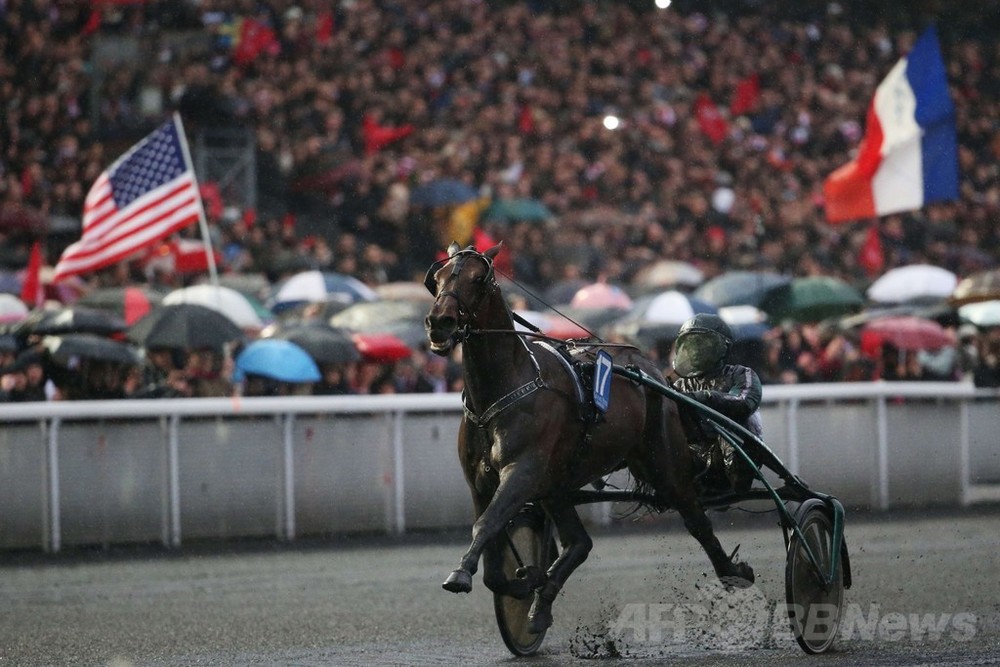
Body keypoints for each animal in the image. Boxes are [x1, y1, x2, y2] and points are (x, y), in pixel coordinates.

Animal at [422, 243, 752, 636]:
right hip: (557, 484)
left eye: (477, 278)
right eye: (439, 277)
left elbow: (486, 524)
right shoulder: (480, 482)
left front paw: (462, 574)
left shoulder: (523, 471)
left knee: (697, 521)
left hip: (664, 464)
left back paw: (733, 572)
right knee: (580, 543)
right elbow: (493, 559)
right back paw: (540, 608)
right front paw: (526, 580)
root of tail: (654, 372)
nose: (439, 322)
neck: (503, 390)